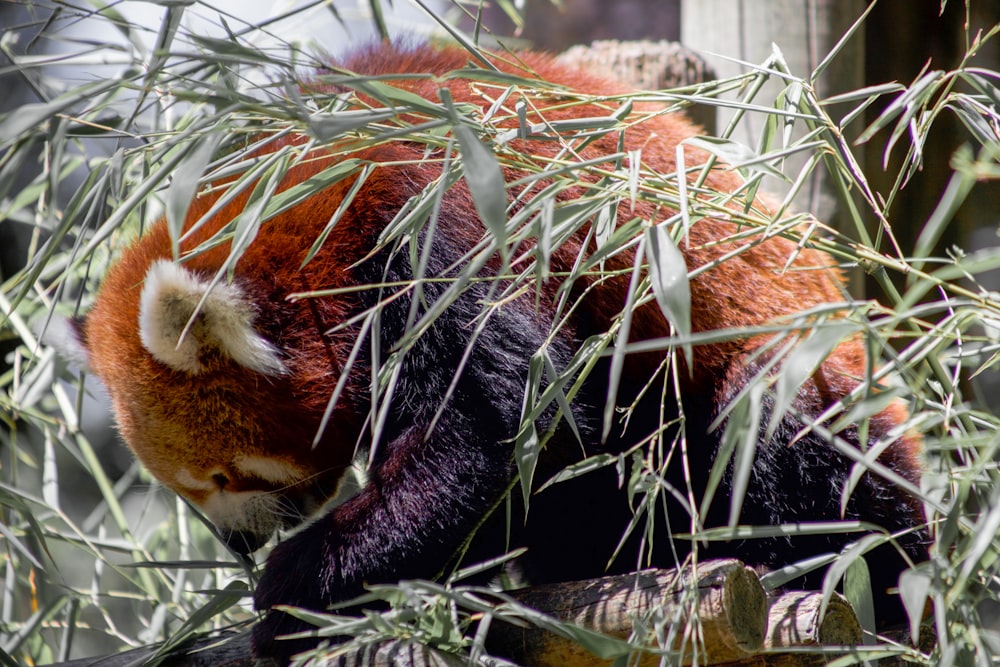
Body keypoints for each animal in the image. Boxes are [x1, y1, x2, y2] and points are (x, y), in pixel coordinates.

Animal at [74, 41, 924, 664]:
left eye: (219, 476)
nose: (241, 543)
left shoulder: (442, 229)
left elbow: (495, 438)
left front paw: (299, 583)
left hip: (806, 376)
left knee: (779, 428)